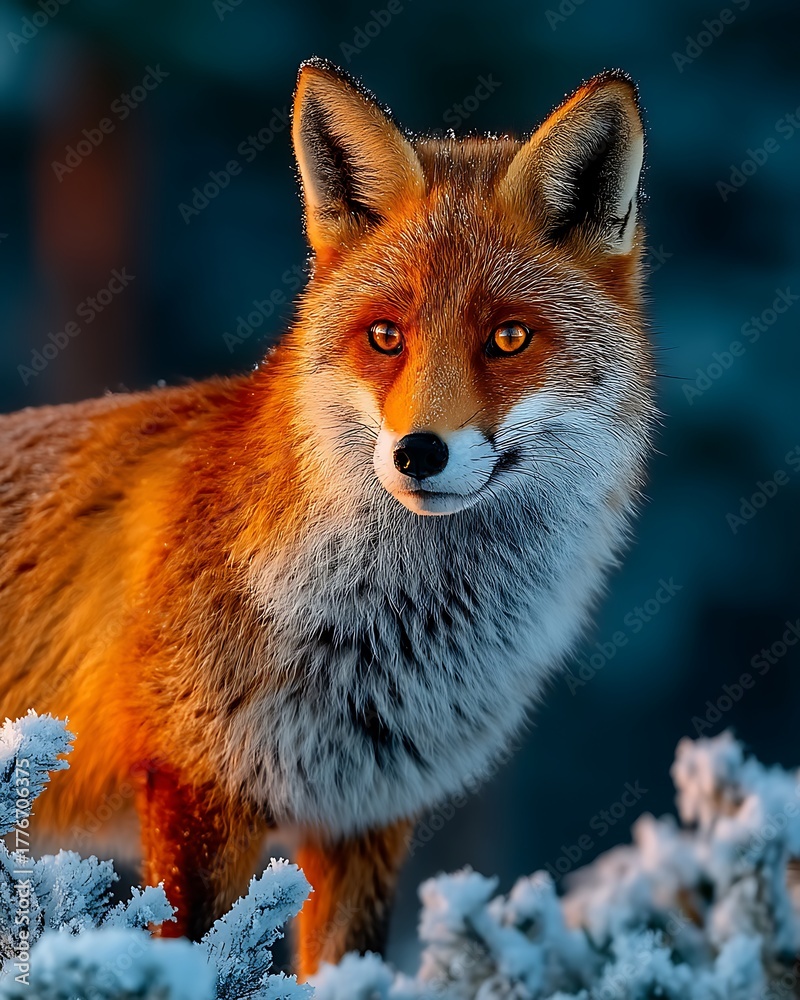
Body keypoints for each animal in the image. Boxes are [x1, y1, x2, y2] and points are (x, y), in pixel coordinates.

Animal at [0, 59, 655, 979]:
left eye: (509, 338)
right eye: (385, 336)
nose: (419, 452)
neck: (387, 637)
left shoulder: (364, 813)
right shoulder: (196, 785)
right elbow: (201, 959)